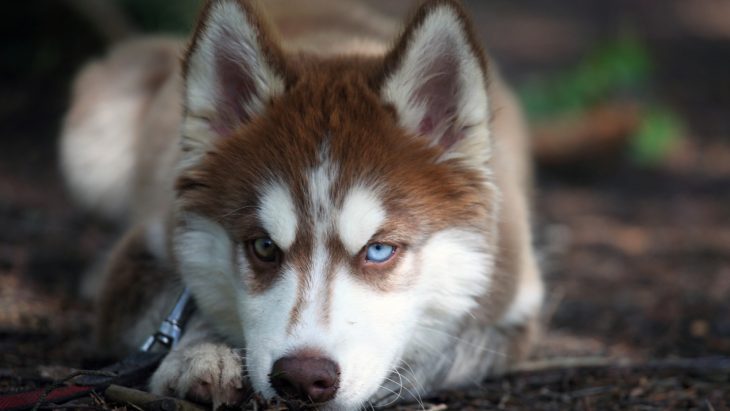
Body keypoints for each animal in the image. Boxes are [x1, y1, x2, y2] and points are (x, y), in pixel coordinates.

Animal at [61, 0, 540, 408]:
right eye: (263, 246)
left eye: (379, 250)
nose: (303, 378)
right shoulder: (145, 255)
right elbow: (176, 310)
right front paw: (199, 355)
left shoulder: (515, 298)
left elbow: (460, 346)